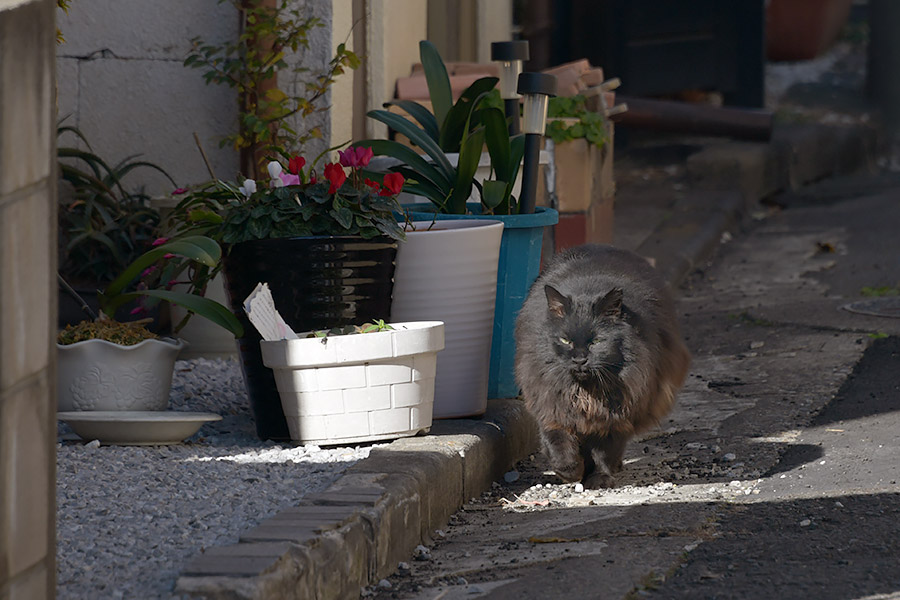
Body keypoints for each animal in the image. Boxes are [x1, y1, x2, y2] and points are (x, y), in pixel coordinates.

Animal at [512, 243, 688, 488]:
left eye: (596, 342)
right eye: (565, 340)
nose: (579, 359)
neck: (586, 394)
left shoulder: (615, 417)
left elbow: (603, 453)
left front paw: (599, 478)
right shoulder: (553, 408)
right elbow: (558, 445)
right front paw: (570, 472)